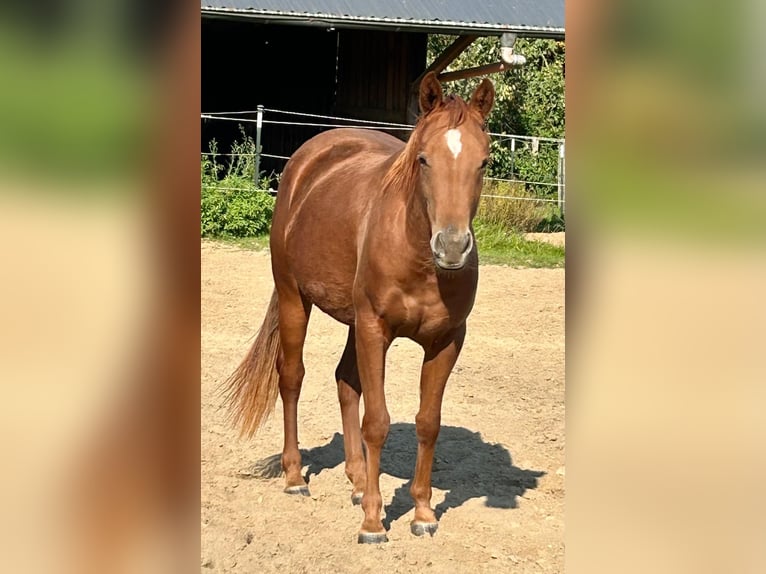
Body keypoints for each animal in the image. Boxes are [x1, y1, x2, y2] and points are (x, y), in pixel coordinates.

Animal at [225, 72, 496, 544]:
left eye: (482, 162)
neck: (417, 257)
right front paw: (373, 521)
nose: (452, 246)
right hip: (295, 299)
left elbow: (428, 422)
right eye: (423, 159)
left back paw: (355, 480)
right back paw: (295, 477)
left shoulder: (446, 341)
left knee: (345, 382)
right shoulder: (375, 329)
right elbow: (378, 421)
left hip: (352, 320)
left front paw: (422, 513)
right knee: (291, 378)